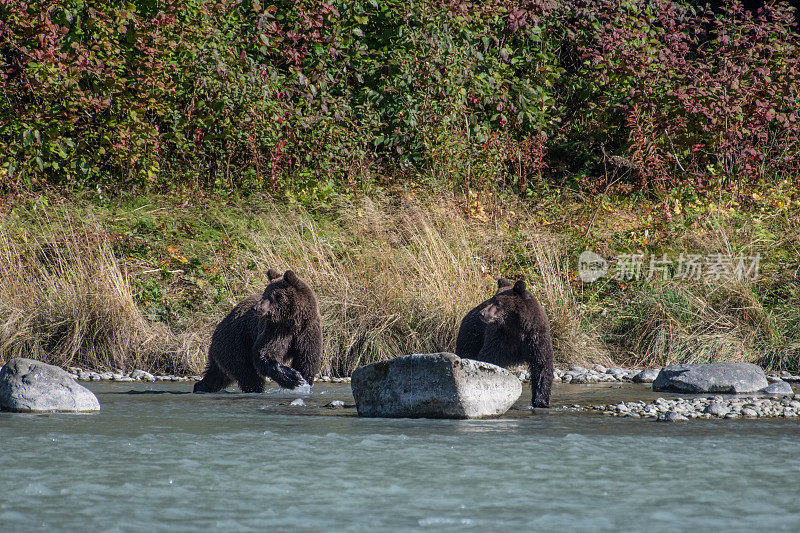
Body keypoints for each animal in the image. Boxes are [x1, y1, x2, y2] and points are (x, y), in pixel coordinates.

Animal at [194, 270, 322, 390]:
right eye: (265, 294)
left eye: (272, 296)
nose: (256, 308)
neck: (293, 322)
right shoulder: (275, 330)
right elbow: (265, 352)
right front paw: (292, 377)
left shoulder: (307, 331)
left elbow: (307, 359)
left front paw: (303, 378)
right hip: (236, 343)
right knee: (247, 374)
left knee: (217, 375)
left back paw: (201, 386)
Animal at [456, 278, 552, 408]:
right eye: (491, 299)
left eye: (497, 302)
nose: (482, 313)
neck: (516, 327)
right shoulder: (499, 338)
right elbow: (489, 359)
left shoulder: (535, 337)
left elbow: (542, 365)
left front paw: (541, 401)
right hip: (471, 337)